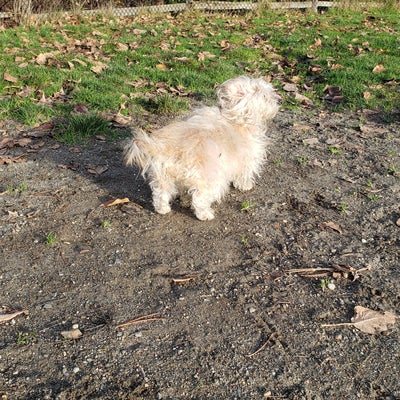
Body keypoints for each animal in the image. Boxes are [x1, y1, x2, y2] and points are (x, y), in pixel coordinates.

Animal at [123, 76, 280, 220]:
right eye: (265, 96)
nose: (279, 100)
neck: (236, 117)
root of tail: (172, 148)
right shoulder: (248, 158)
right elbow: (244, 173)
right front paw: (245, 185)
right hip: (210, 179)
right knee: (199, 198)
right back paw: (205, 214)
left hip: (162, 176)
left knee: (160, 194)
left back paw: (163, 209)